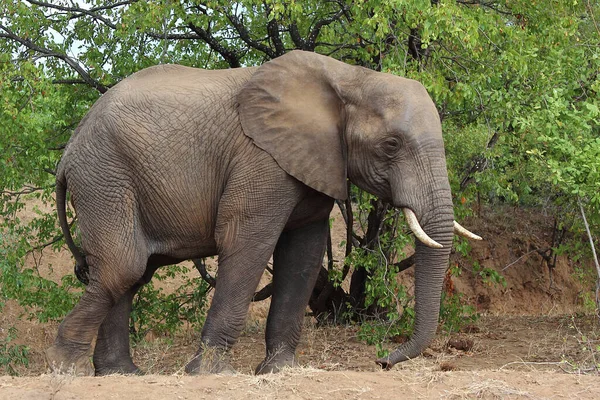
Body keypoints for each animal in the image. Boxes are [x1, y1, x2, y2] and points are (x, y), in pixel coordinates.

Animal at [47, 49, 480, 376]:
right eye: (391, 145)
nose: (382, 361)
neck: (350, 79)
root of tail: (67, 153)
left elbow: (303, 253)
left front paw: (280, 370)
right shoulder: (262, 159)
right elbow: (247, 243)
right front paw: (212, 374)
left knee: (129, 273)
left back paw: (120, 375)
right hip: (104, 177)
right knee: (123, 266)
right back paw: (66, 368)